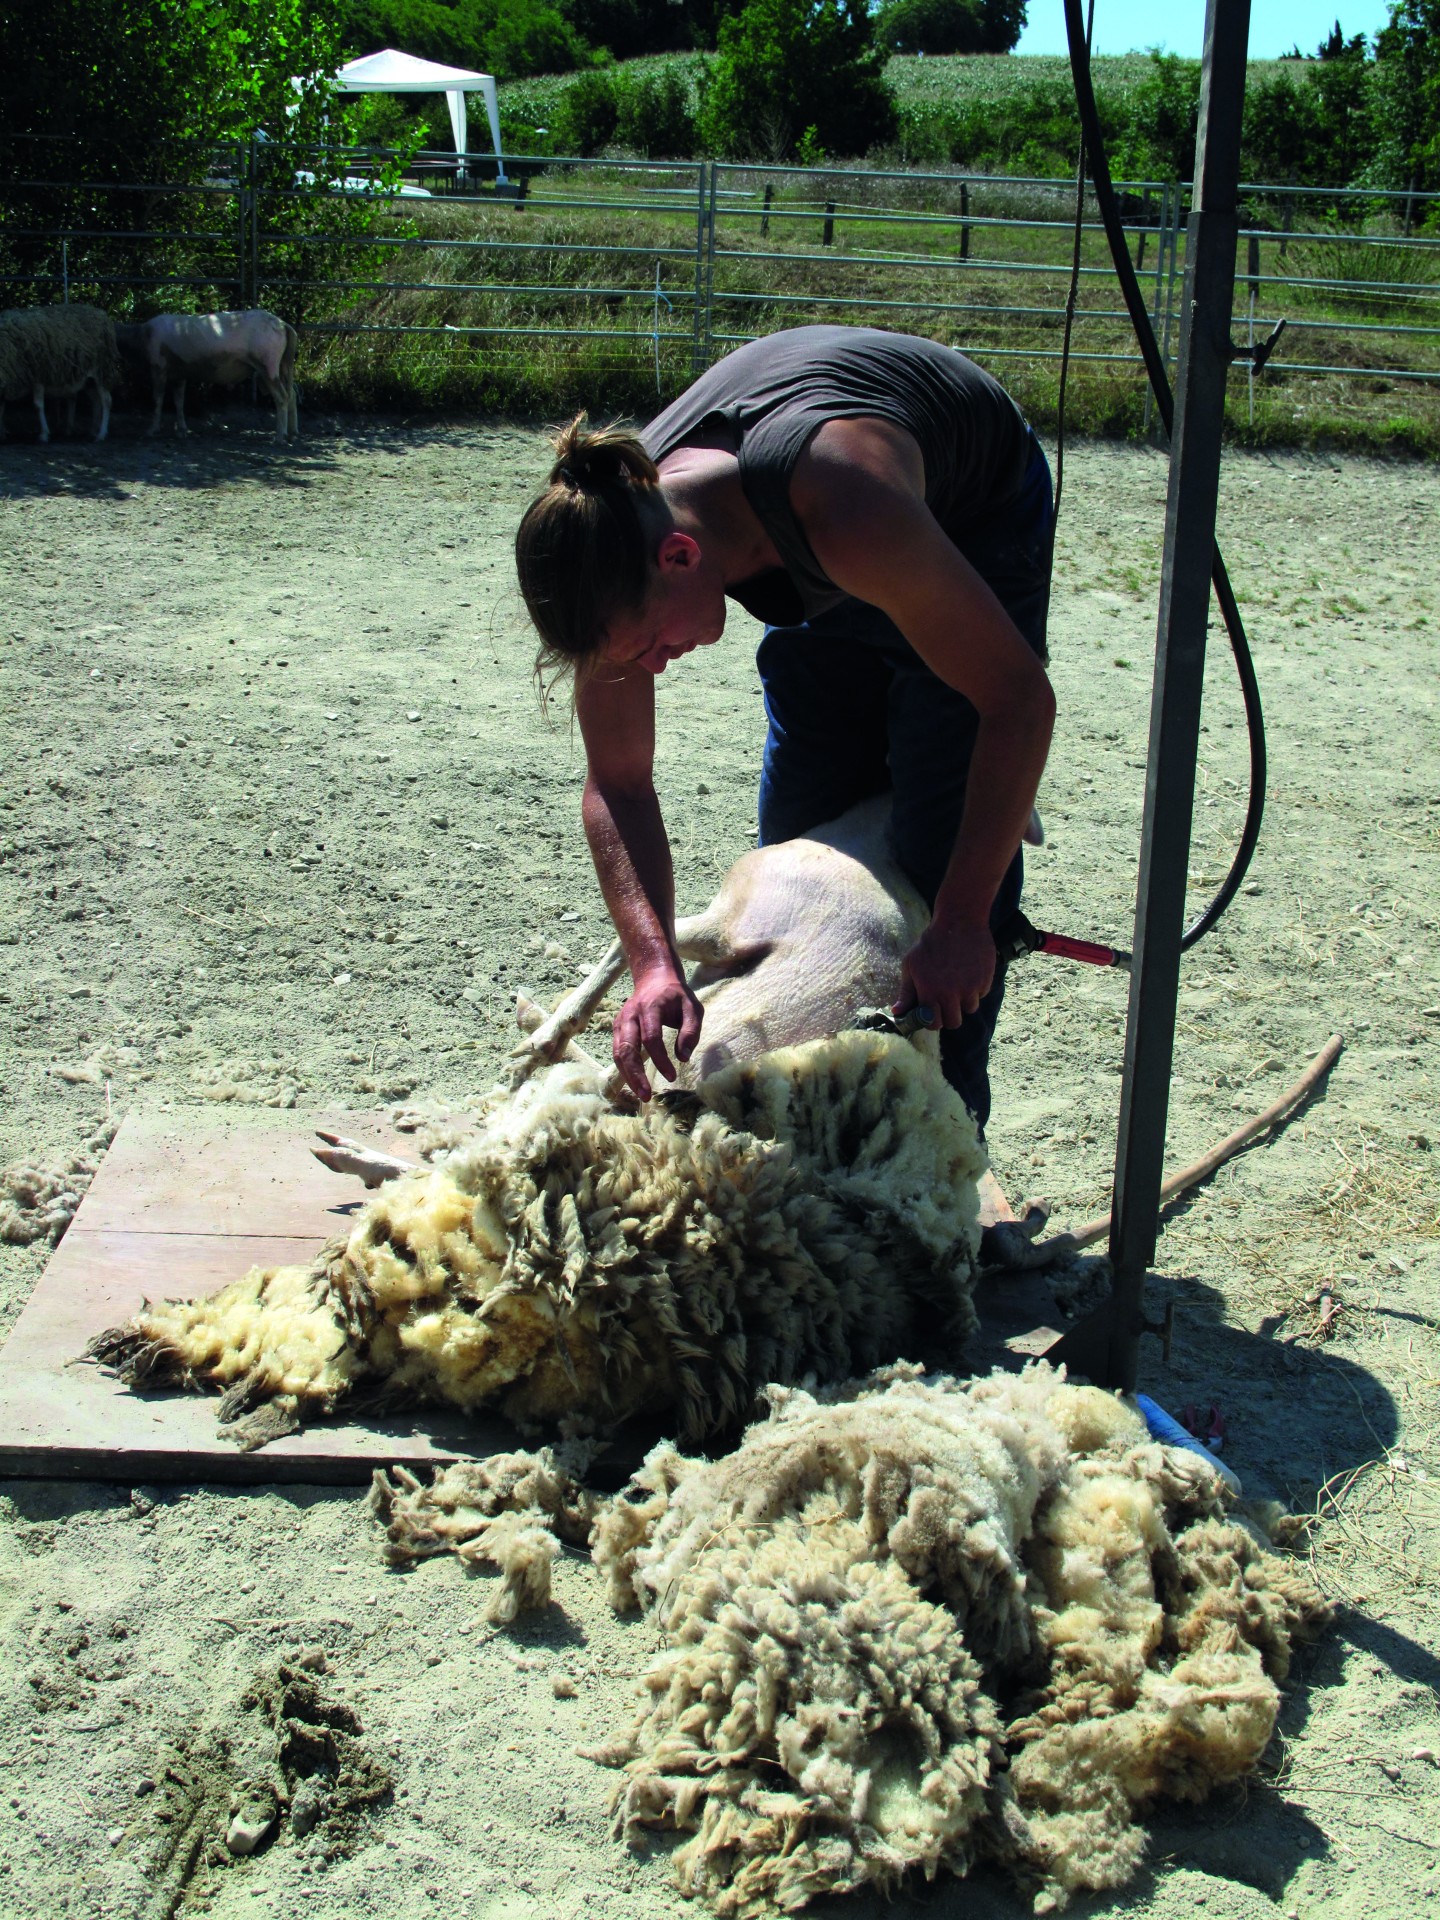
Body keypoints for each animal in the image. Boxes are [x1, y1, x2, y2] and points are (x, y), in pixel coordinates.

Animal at [0, 303, 118, 445]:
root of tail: (102, 313)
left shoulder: (38, 375)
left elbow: (38, 405)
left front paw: (44, 434)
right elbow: (1, 408)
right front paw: (2, 433)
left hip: (101, 370)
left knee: (106, 401)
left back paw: (101, 434)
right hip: (88, 380)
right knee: (95, 401)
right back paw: (91, 431)